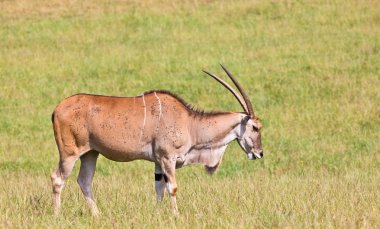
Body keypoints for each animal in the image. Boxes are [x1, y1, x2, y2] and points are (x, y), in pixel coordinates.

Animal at [52, 64, 262, 215]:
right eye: (255, 127)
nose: (259, 153)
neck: (189, 123)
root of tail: (57, 109)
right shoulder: (167, 158)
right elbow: (172, 188)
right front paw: (176, 216)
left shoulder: (158, 162)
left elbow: (159, 187)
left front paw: (158, 214)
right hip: (69, 154)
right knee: (58, 179)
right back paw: (57, 215)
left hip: (90, 154)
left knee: (84, 181)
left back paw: (97, 215)